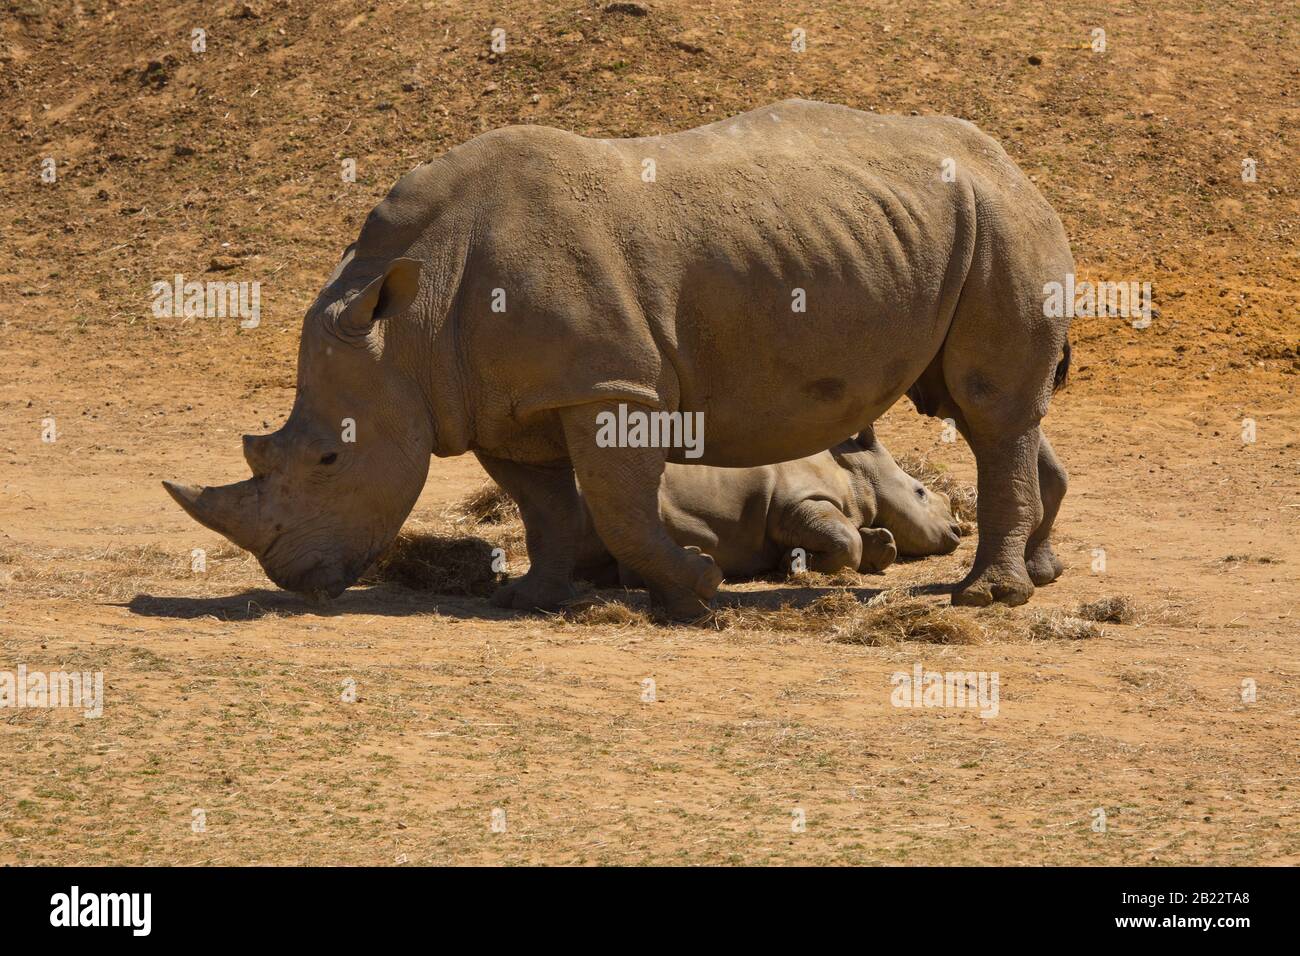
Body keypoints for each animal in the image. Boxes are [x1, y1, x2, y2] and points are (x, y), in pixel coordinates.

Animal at [574, 429, 961, 587]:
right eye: (920, 492)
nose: (957, 531)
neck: (856, 472)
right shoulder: (795, 503)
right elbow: (847, 540)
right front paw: (793, 565)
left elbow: (864, 537)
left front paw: (880, 547)